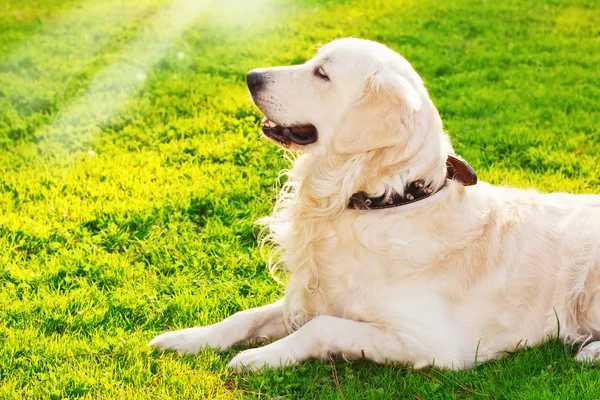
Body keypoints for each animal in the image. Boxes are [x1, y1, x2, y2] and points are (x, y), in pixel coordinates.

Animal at [150, 39, 600, 370]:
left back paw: (589, 350)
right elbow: (246, 316)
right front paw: (188, 338)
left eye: (322, 73)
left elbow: (321, 328)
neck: (385, 200)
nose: (251, 77)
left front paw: (259, 357)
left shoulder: (437, 344)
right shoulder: (311, 296)